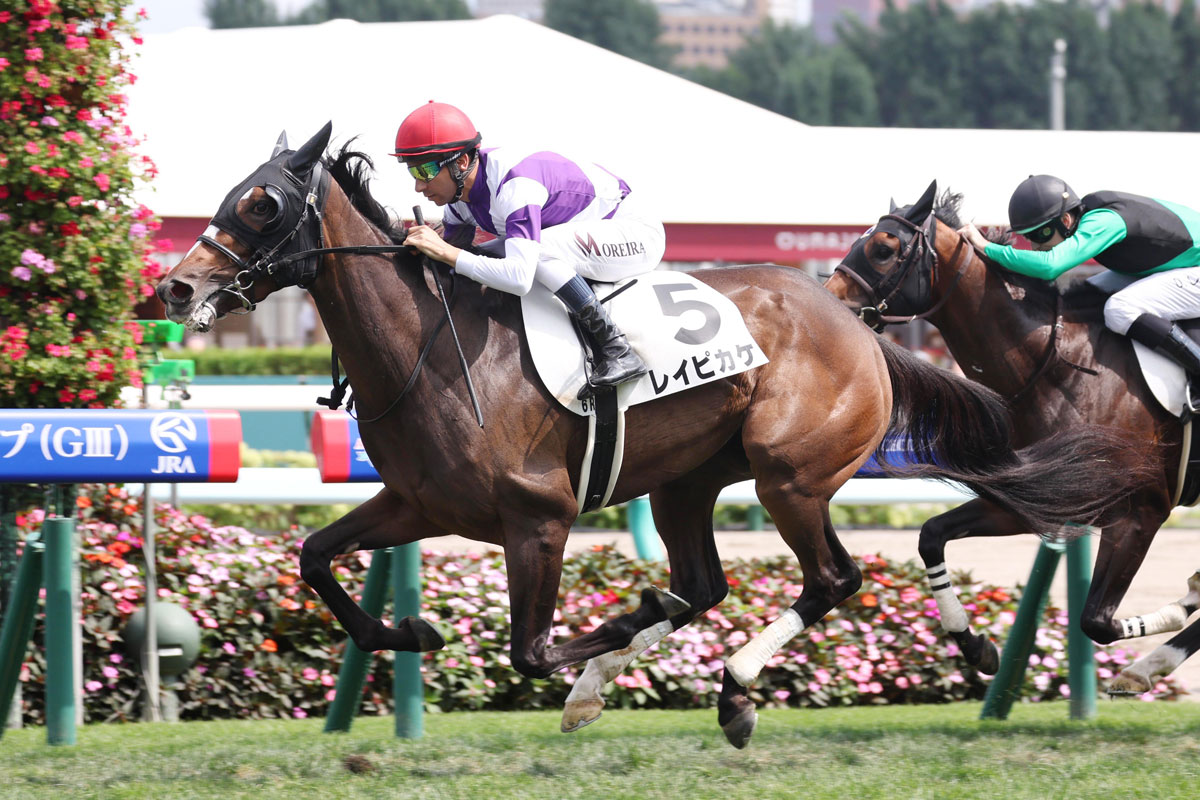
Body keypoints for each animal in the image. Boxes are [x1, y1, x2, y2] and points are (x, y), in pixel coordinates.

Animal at [156, 126, 1150, 747]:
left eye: (261, 205)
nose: (174, 286)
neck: (431, 346)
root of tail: (859, 325)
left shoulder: (540, 518)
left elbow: (533, 647)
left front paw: (601, 647)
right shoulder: (417, 503)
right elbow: (315, 557)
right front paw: (410, 631)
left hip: (790, 476)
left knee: (829, 579)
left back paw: (736, 688)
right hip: (685, 481)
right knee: (705, 583)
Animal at [824, 180, 1200, 695]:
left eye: (883, 249)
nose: (821, 304)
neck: (1059, 365)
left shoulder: (1141, 512)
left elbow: (1097, 621)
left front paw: (1173, 619)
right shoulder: (1034, 496)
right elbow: (931, 535)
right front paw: (976, 646)